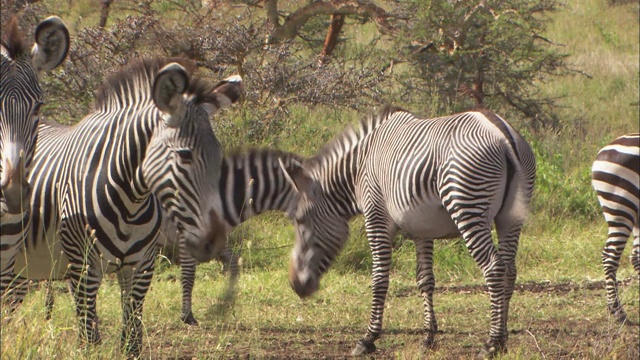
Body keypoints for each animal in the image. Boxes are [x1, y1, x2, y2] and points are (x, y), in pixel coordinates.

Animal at [4, 57, 242, 356]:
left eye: (219, 155)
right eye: (185, 155)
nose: (216, 235)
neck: (130, 202)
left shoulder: (141, 266)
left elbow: (132, 339)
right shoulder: (84, 266)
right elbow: (88, 338)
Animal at [280, 105, 536, 358]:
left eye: (300, 220)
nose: (296, 286)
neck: (359, 166)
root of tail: (502, 134)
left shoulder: (376, 216)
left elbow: (379, 278)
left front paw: (368, 338)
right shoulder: (422, 229)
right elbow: (425, 280)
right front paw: (428, 338)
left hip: (467, 206)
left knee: (494, 268)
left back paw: (491, 343)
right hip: (510, 218)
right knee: (509, 270)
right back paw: (503, 340)